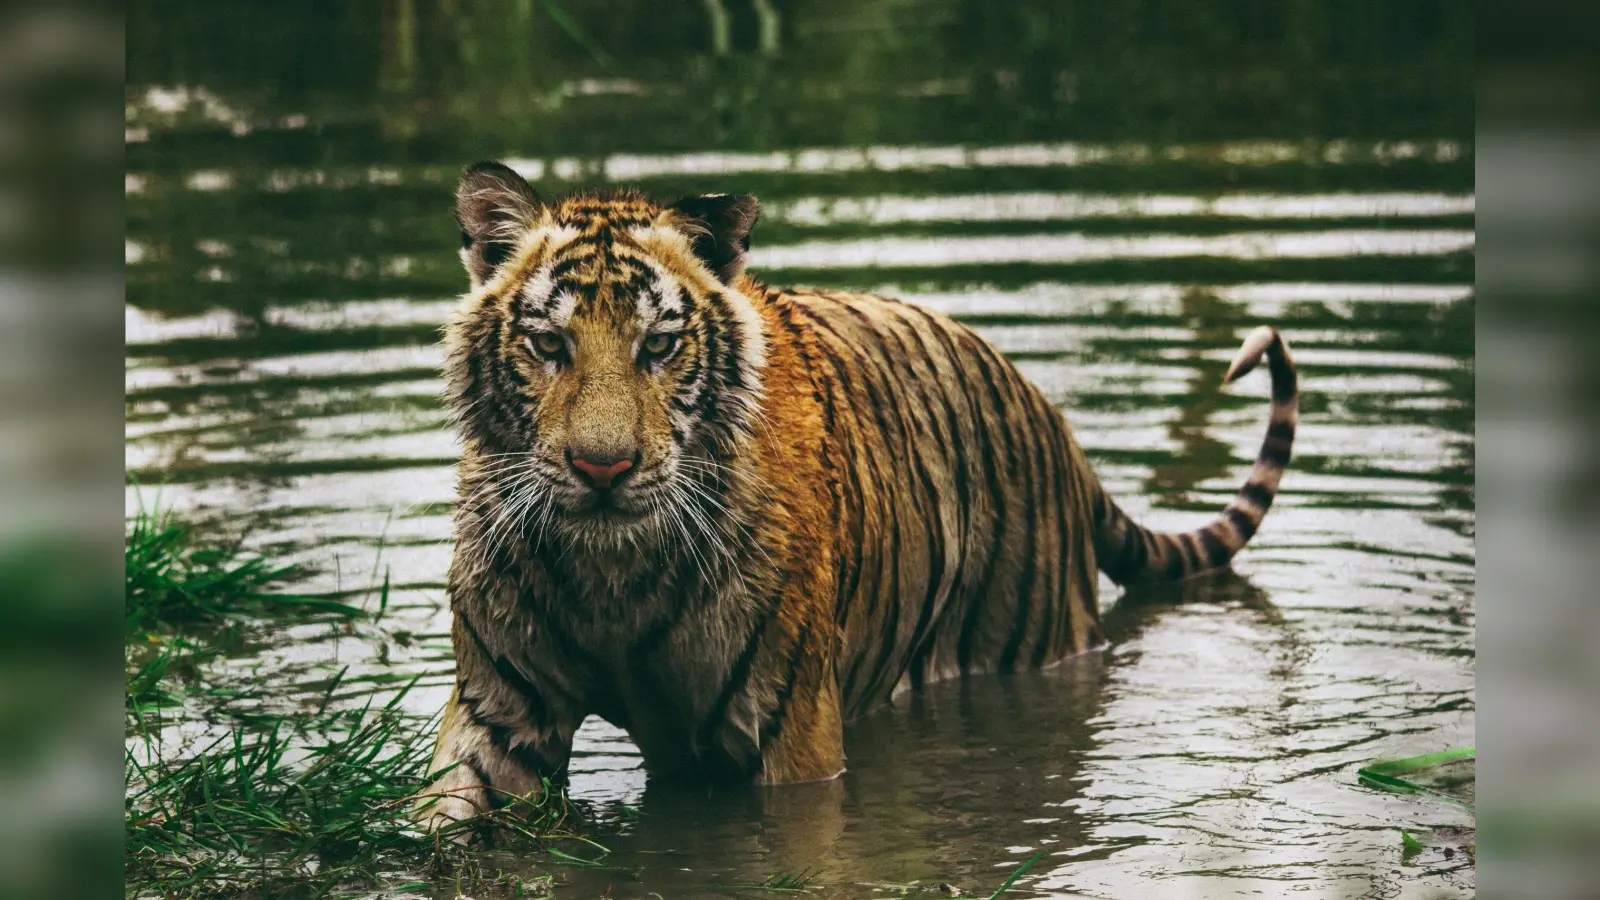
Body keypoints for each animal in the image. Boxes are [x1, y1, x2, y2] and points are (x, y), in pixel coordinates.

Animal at [414, 161, 1297, 831]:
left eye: (659, 346)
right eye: (548, 344)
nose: (603, 468)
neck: (611, 577)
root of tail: (1056, 423)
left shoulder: (788, 734)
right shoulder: (500, 714)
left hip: (1029, 644)